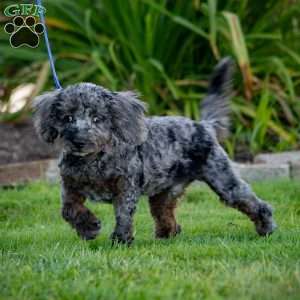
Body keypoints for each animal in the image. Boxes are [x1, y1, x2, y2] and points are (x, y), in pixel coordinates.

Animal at [32, 58, 276, 244]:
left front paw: (120, 240)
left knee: (253, 202)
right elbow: (68, 210)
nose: (79, 141)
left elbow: (123, 214)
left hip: (224, 181)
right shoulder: (70, 187)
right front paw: (89, 227)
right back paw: (166, 235)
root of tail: (203, 125)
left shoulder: (126, 188)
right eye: (67, 117)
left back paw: (266, 227)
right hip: (164, 193)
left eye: (97, 118)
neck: (93, 162)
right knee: (165, 215)